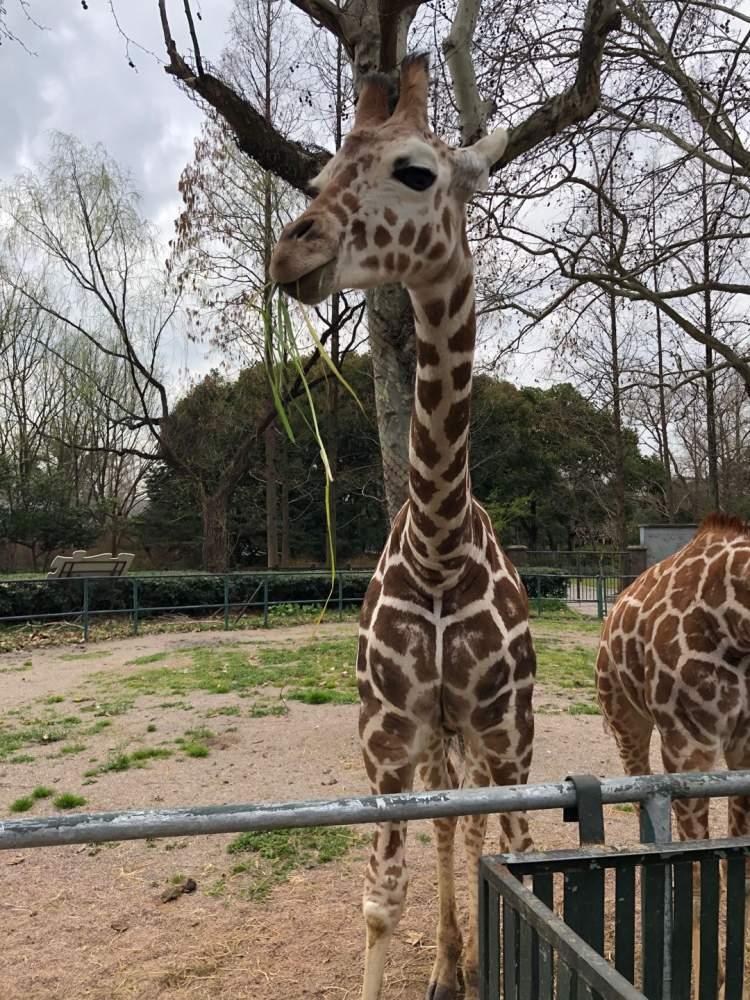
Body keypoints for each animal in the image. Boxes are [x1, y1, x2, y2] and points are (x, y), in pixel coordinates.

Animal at [274, 54, 536, 1000]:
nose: (290, 249)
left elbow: (520, 869)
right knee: (448, 824)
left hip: (486, 737)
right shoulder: (384, 740)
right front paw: (440, 962)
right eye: (318, 176)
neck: (437, 545)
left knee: (474, 829)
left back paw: (464, 964)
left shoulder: (506, 733)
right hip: (433, 740)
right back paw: (449, 968)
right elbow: (380, 901)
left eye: (416, 171)